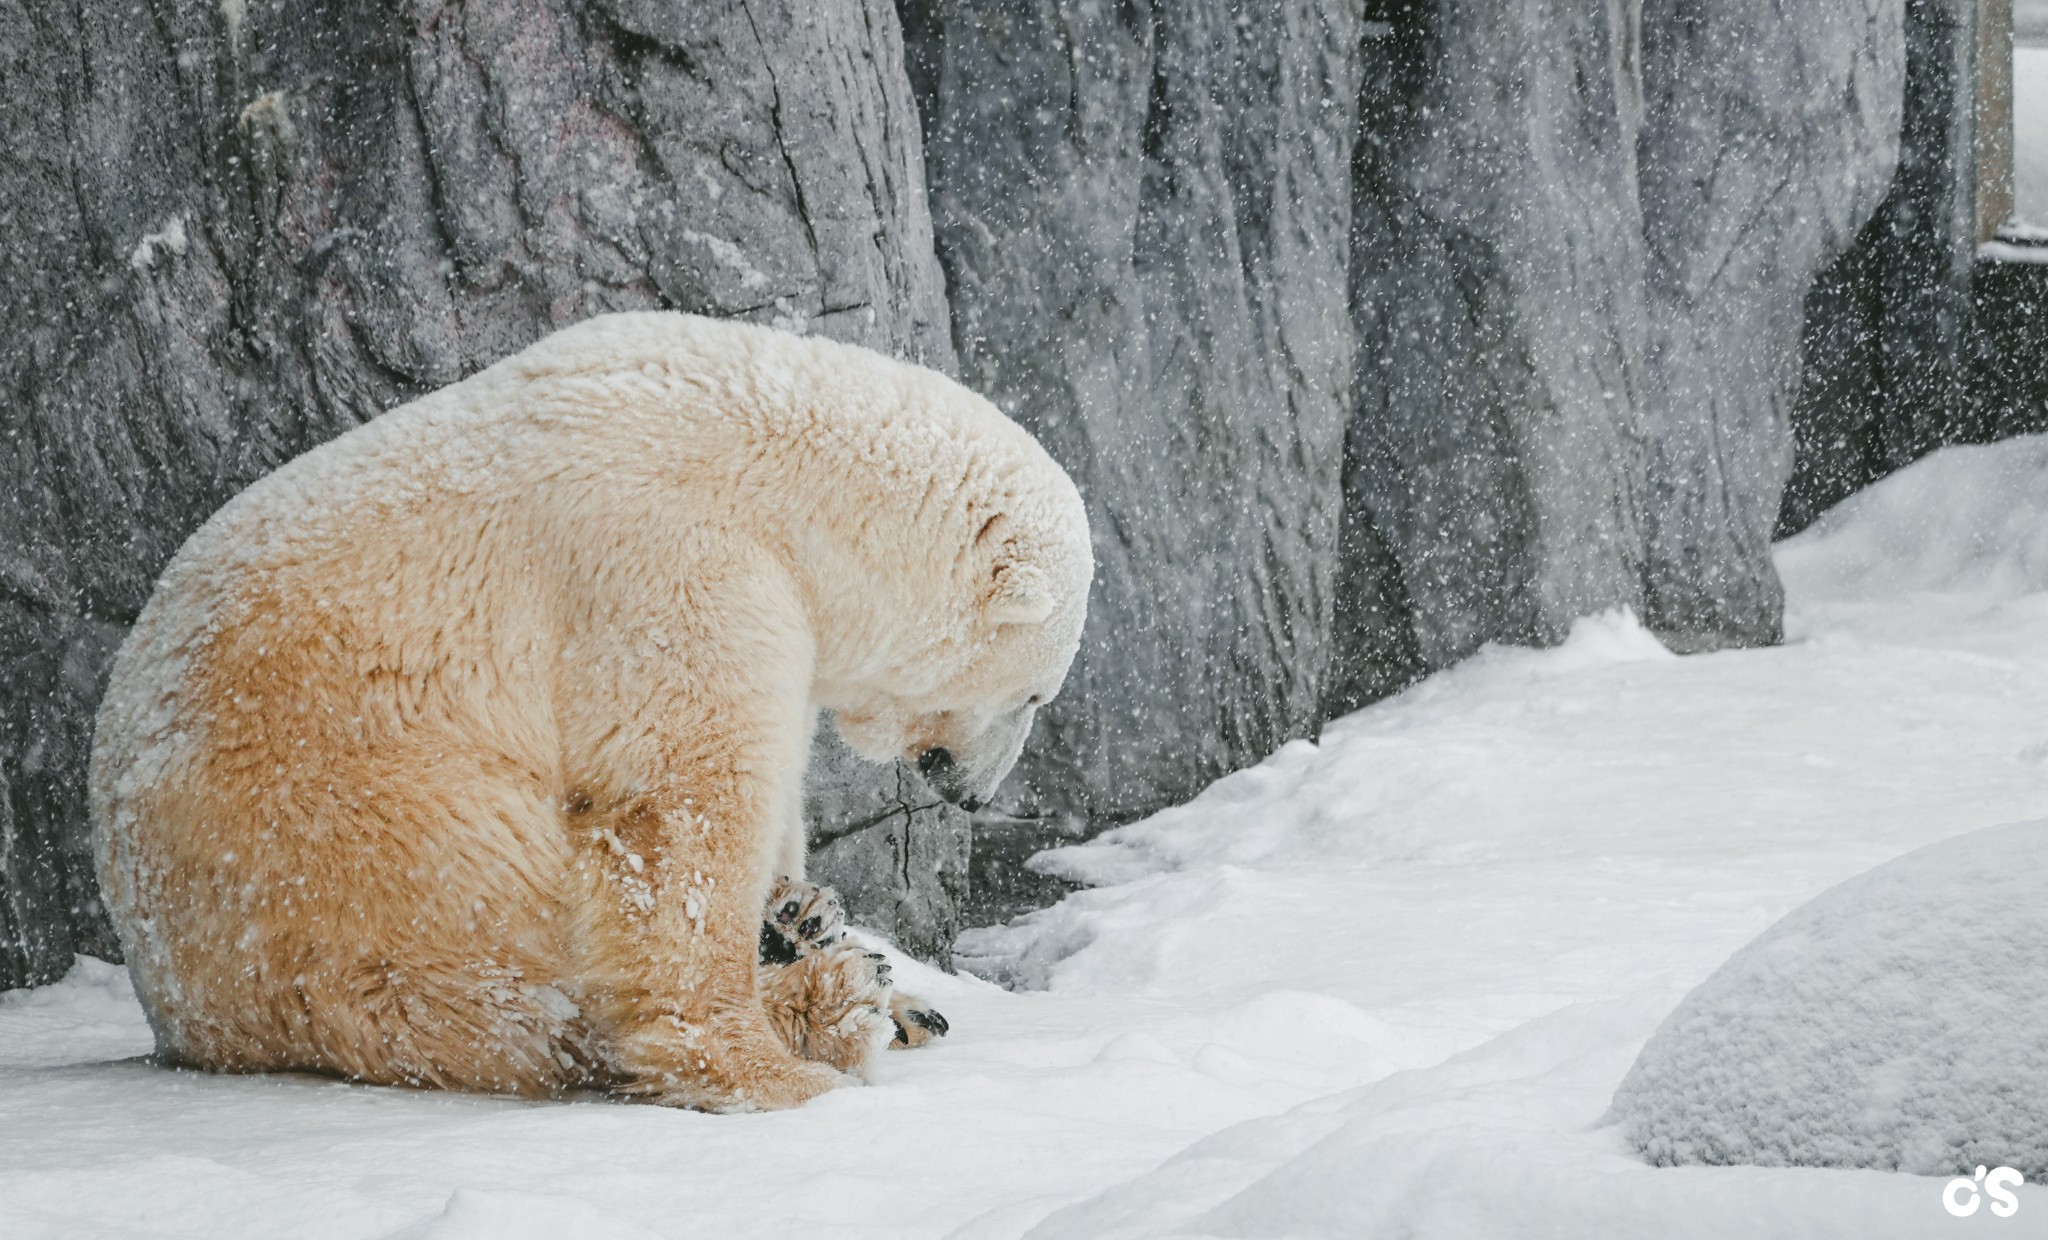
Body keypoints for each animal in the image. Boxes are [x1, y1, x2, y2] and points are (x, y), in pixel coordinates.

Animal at [90, 311, 1097, 1114]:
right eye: (1034, 694)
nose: (973, 794)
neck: (788, 478)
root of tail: (166, 995)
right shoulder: (668, 564)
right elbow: (679, 812)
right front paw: (772, 1072)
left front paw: (800, 903)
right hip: (333, 833)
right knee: (494, 978)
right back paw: (840, 1002)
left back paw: (854, 966)